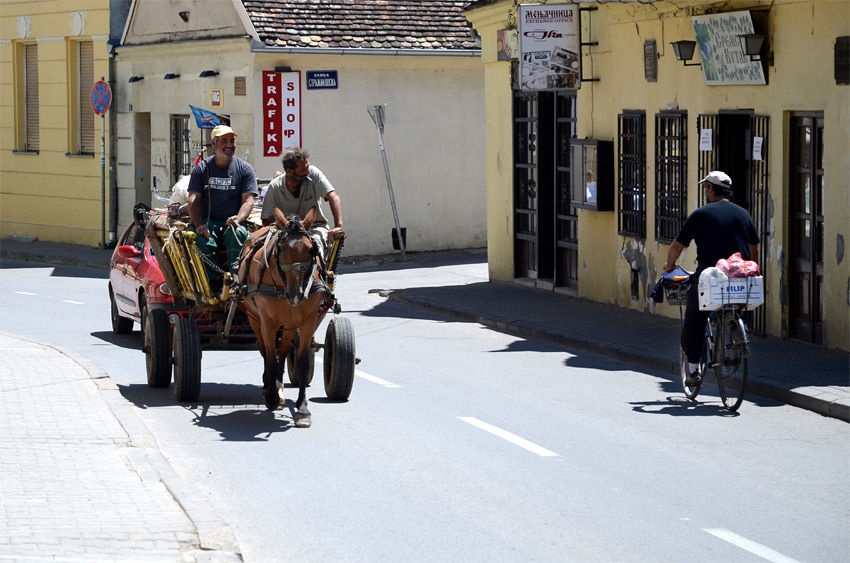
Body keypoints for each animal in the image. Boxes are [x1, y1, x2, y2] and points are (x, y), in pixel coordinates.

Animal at [235, 212, 328, 428]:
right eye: (280, 249)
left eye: (311, 249)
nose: (295, 294)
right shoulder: (268, 322)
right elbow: (269, 358)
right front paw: (271, 396)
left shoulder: (307, 321)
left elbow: (301, 363)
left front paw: (302, 409)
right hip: (254, 318)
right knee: (264, 351)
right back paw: (269, 386)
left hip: (289, 325)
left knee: (284, 352)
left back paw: (278, 385)